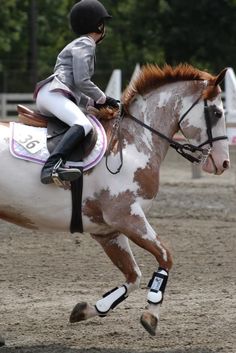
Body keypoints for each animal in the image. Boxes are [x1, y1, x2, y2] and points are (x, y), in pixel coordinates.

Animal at [0, 64, 230, 338]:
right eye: (216, 113)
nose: (224, 163)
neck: (134, 142)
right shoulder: (127, 217)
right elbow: (166, 256)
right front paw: (151, 314)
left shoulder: (107, 231)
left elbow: (134, 277)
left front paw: (89, 309)